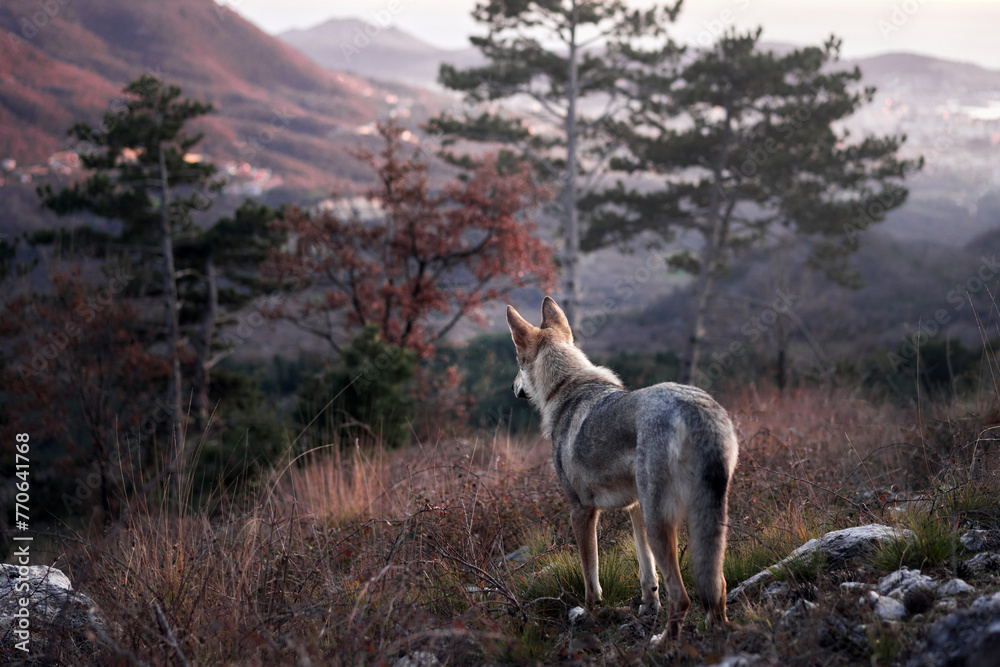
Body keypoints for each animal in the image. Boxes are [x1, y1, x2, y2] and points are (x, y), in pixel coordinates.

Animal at [506, 297, 739, 641]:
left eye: (518, 364)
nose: (512, 387)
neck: (566, 388)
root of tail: (692, 406)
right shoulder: (635, 507)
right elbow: (647, 574)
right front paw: (647, 608)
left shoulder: (581, 510)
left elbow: (591, 579)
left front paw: (589, 615)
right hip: (706, 517)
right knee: (716, 585)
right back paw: (714, 630)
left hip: (661, 523)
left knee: (682, 596)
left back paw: (663, 641)